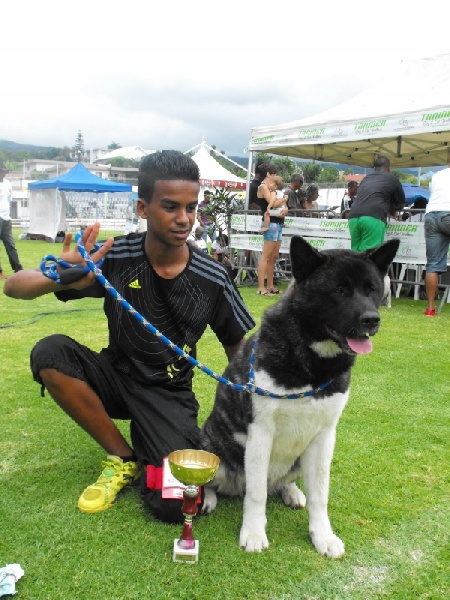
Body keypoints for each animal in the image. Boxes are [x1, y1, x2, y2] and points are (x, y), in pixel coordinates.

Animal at [202, 234, 400, 556]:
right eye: (339, 290)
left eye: (372, 288)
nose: (372, 319)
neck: (310, 361)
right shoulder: (260, 433)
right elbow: (256, 495)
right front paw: (253, 532)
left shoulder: (324, 437)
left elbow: (320, 493)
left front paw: (323, 536)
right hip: (215, 453)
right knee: (226, 484)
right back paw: (206, 498)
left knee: (280, 483)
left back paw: (291, 492)